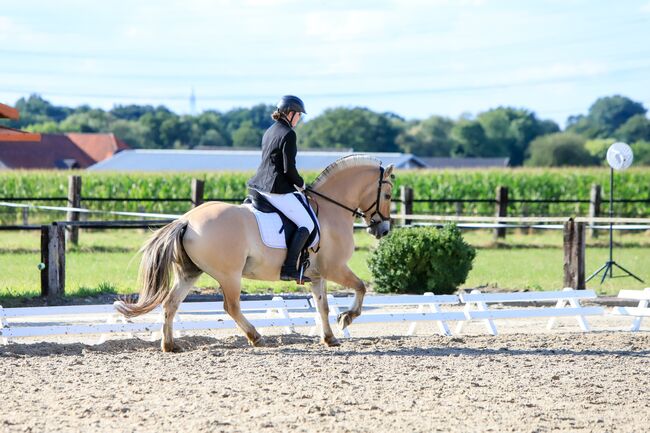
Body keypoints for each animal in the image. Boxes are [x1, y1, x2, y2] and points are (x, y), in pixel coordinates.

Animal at [114, 155, 392, 352]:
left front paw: (330, 338)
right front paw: (346, 318)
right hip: (229, 275)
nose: (383, 230)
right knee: (231, 306)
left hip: (190, 272)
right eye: (388, 194)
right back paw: (256, 337)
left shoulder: (317, 275)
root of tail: (186, 220)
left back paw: (170, 345)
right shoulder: (335, 268)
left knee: (171, 303)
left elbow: (322, 307)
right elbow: (360, 287)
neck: (330, 210)